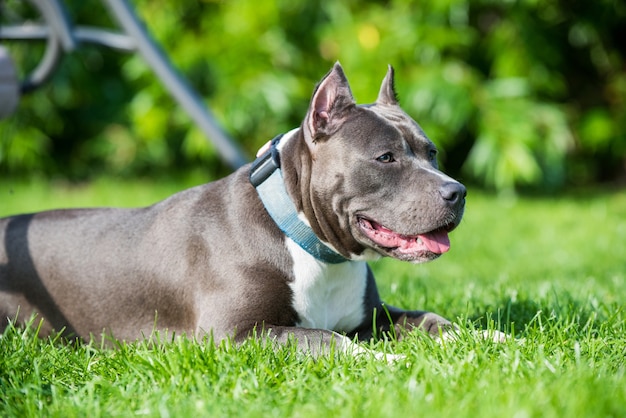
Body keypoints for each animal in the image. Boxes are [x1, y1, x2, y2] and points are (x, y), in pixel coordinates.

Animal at [0, 63, 468, 354]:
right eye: (385, 158)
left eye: (432, 153)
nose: (457, 191)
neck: (307, 241)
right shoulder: (235, 335)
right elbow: (328, 341)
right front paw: (391, 362)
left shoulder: (372, 319)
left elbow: (434, 321)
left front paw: (483, 339)